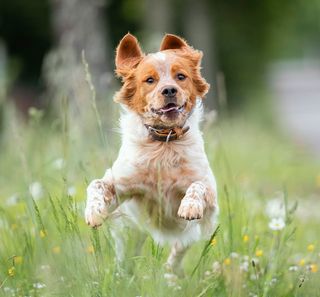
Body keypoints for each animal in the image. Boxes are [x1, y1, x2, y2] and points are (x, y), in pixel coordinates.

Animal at [85, 33, 219, 274]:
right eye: (150, 80)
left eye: (181, 76)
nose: (169, 90)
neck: (164, 144)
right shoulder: (120, 187)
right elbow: (96, 184)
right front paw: (93, 212)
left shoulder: (211, 200)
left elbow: (198, 186)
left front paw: (190, 205)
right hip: (130, 234)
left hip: (188, 236)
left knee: (175, 256)